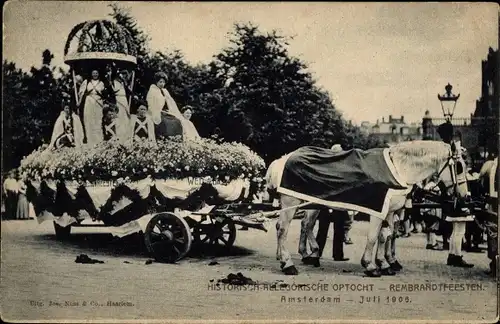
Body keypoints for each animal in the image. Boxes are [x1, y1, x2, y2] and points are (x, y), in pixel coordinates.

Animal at [268, 140, 470, 276]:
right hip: (291, 202)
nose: (465, 197)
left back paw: (300, 255)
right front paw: (371, 266)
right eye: (459, 166)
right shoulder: (378, 211)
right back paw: (289, 264)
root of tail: (282, 159)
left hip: (308, 203)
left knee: (299, 225)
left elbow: (385, 236)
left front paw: (385, 264)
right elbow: (374, 237)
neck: (399, 169)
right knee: (284, 229)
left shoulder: (389, 211)